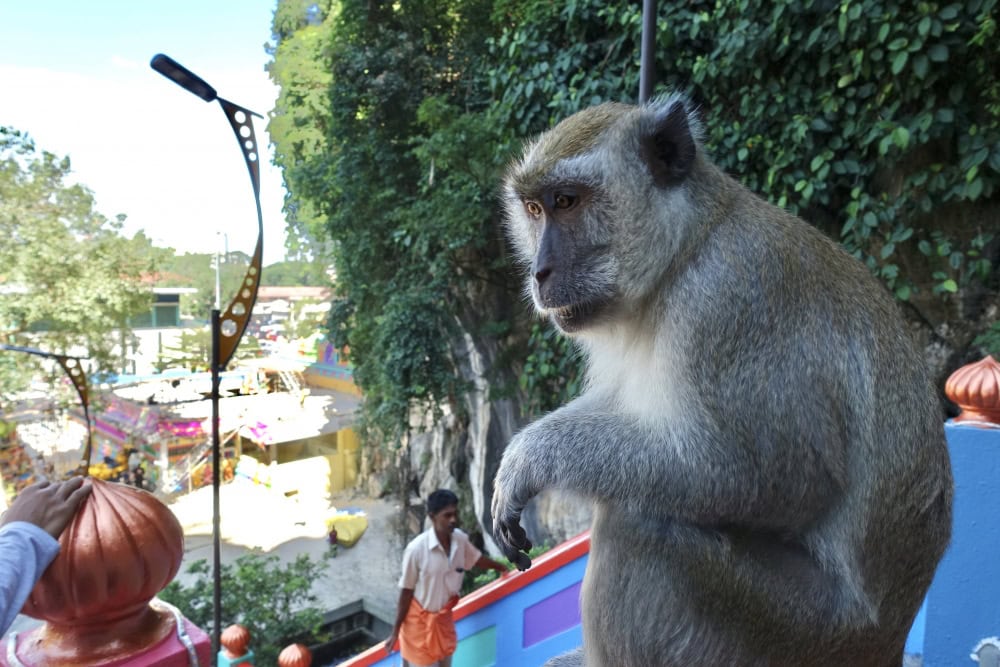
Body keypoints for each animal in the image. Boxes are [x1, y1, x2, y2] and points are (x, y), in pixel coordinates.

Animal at [491, 94, 953, 667]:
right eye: (535, 211)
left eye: (567, 201)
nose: (539, 271)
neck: (684, 253)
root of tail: (886, 642)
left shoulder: (730, 302)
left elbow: (770, 476)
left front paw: (530, 459)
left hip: (800, 630)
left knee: (637, 524)